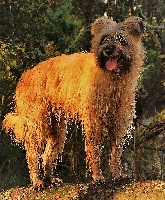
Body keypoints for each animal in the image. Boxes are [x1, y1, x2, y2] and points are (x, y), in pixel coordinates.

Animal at [2, 16, 146, 190]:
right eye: (104, 39)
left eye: (121, 39)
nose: (108, 50)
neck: (113, 79)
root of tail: (25, 76)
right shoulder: (94, 122)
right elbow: (94, 150)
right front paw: (98, 177)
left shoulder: (118, 122)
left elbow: (115, 152)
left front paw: (118, 174)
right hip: (38, 124)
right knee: (32, 154)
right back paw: (37, 181)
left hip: (56, 129)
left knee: (47, 155)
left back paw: (50, 178)